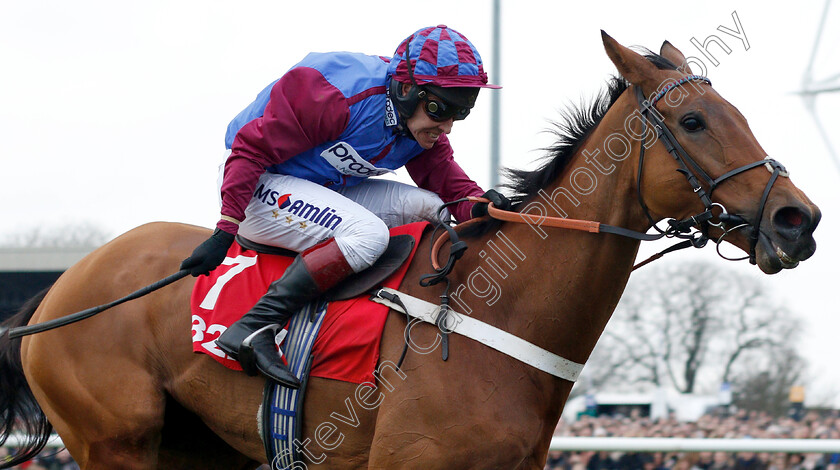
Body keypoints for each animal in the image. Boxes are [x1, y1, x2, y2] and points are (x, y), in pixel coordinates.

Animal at [0, 33, 820, 470]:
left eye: (737, 112)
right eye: (693, 120)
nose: (798, 219)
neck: (497, 322)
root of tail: (59, 288)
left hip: (197, 445)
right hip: (116, 440)